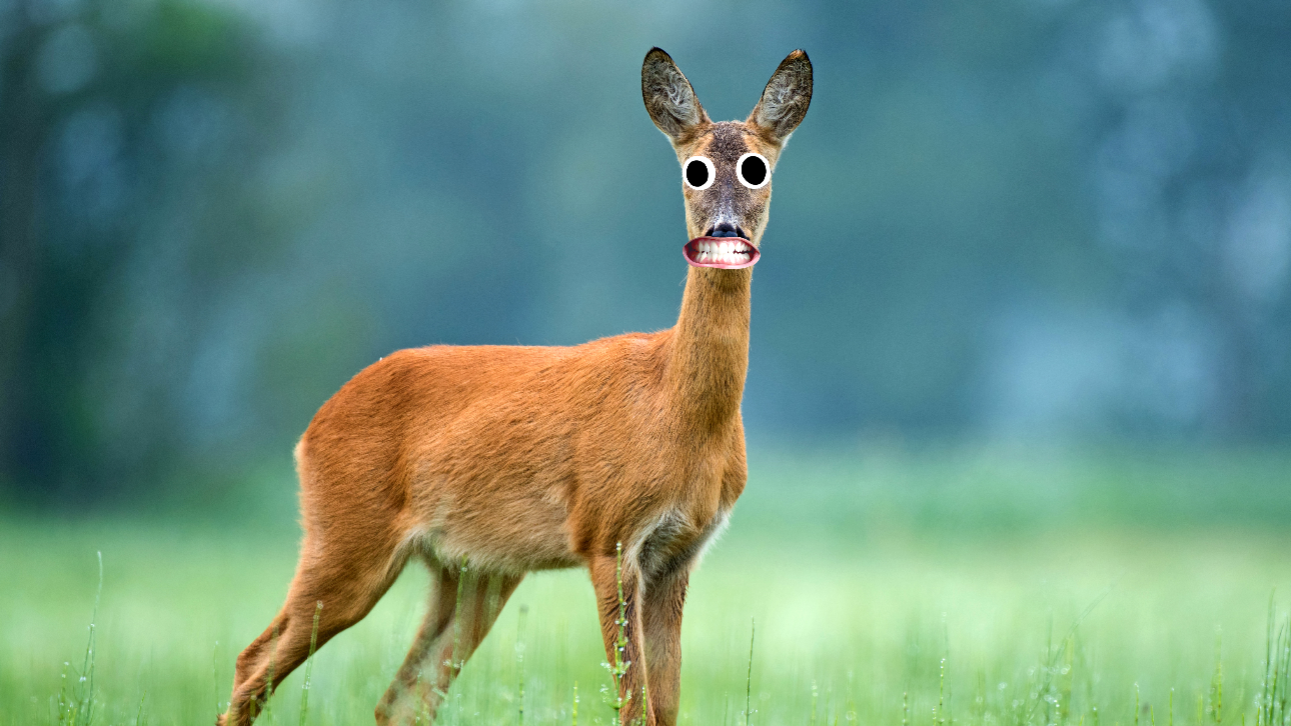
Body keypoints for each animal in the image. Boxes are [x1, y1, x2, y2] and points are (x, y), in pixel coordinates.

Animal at [217, 47, 812, 726]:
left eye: (756, 168)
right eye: (694, 170)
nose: (723, 231)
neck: (676, 409)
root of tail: (311, 430)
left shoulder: (679, 553)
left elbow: (666, 706)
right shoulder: (606, 534)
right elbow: (635, 706)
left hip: (473, 571)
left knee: (400, 699)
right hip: (345, 537)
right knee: (254, 660)